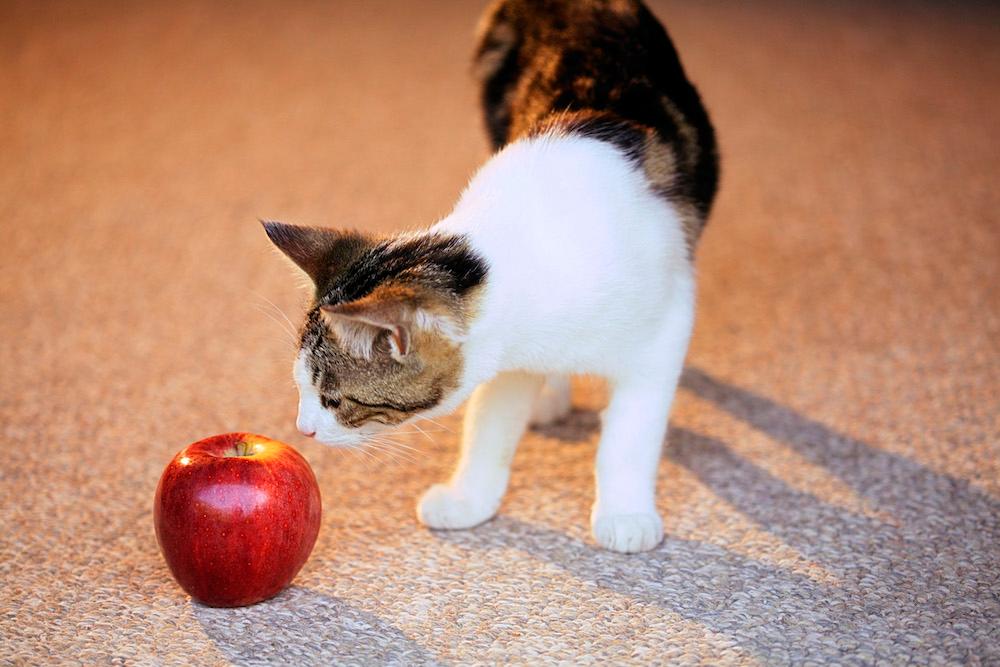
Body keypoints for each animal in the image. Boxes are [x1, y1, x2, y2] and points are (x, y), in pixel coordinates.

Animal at [264, 0, 720, 552]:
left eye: (334, 400)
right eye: (302, 389)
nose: (302, 429)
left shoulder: (667, 324)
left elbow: (631, 432)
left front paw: (626, 513)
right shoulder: (506, 358)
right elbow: (490, 425)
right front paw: (470, 499)